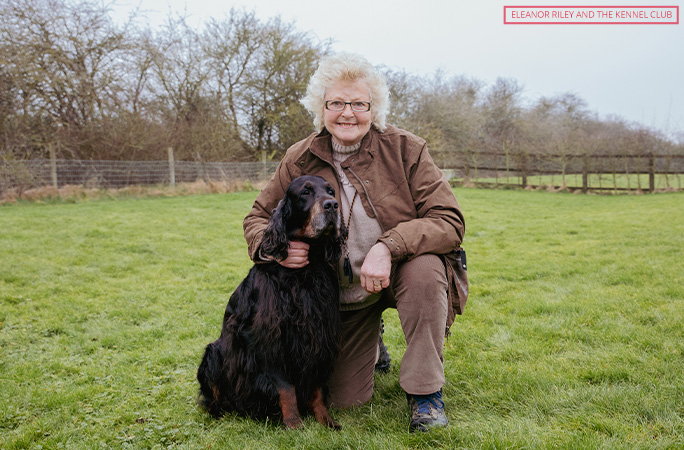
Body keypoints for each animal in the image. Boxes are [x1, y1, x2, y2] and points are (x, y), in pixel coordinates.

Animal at [199, 175, 348, 428]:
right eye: (305, 192)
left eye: (330, 191)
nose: (332, 205)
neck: (303, 271)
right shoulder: (268, 338)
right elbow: (286, 388)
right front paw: (294, 423)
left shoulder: (319, 335)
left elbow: (316, 387)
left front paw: (325, 419)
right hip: (213, 353)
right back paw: (220, 409)